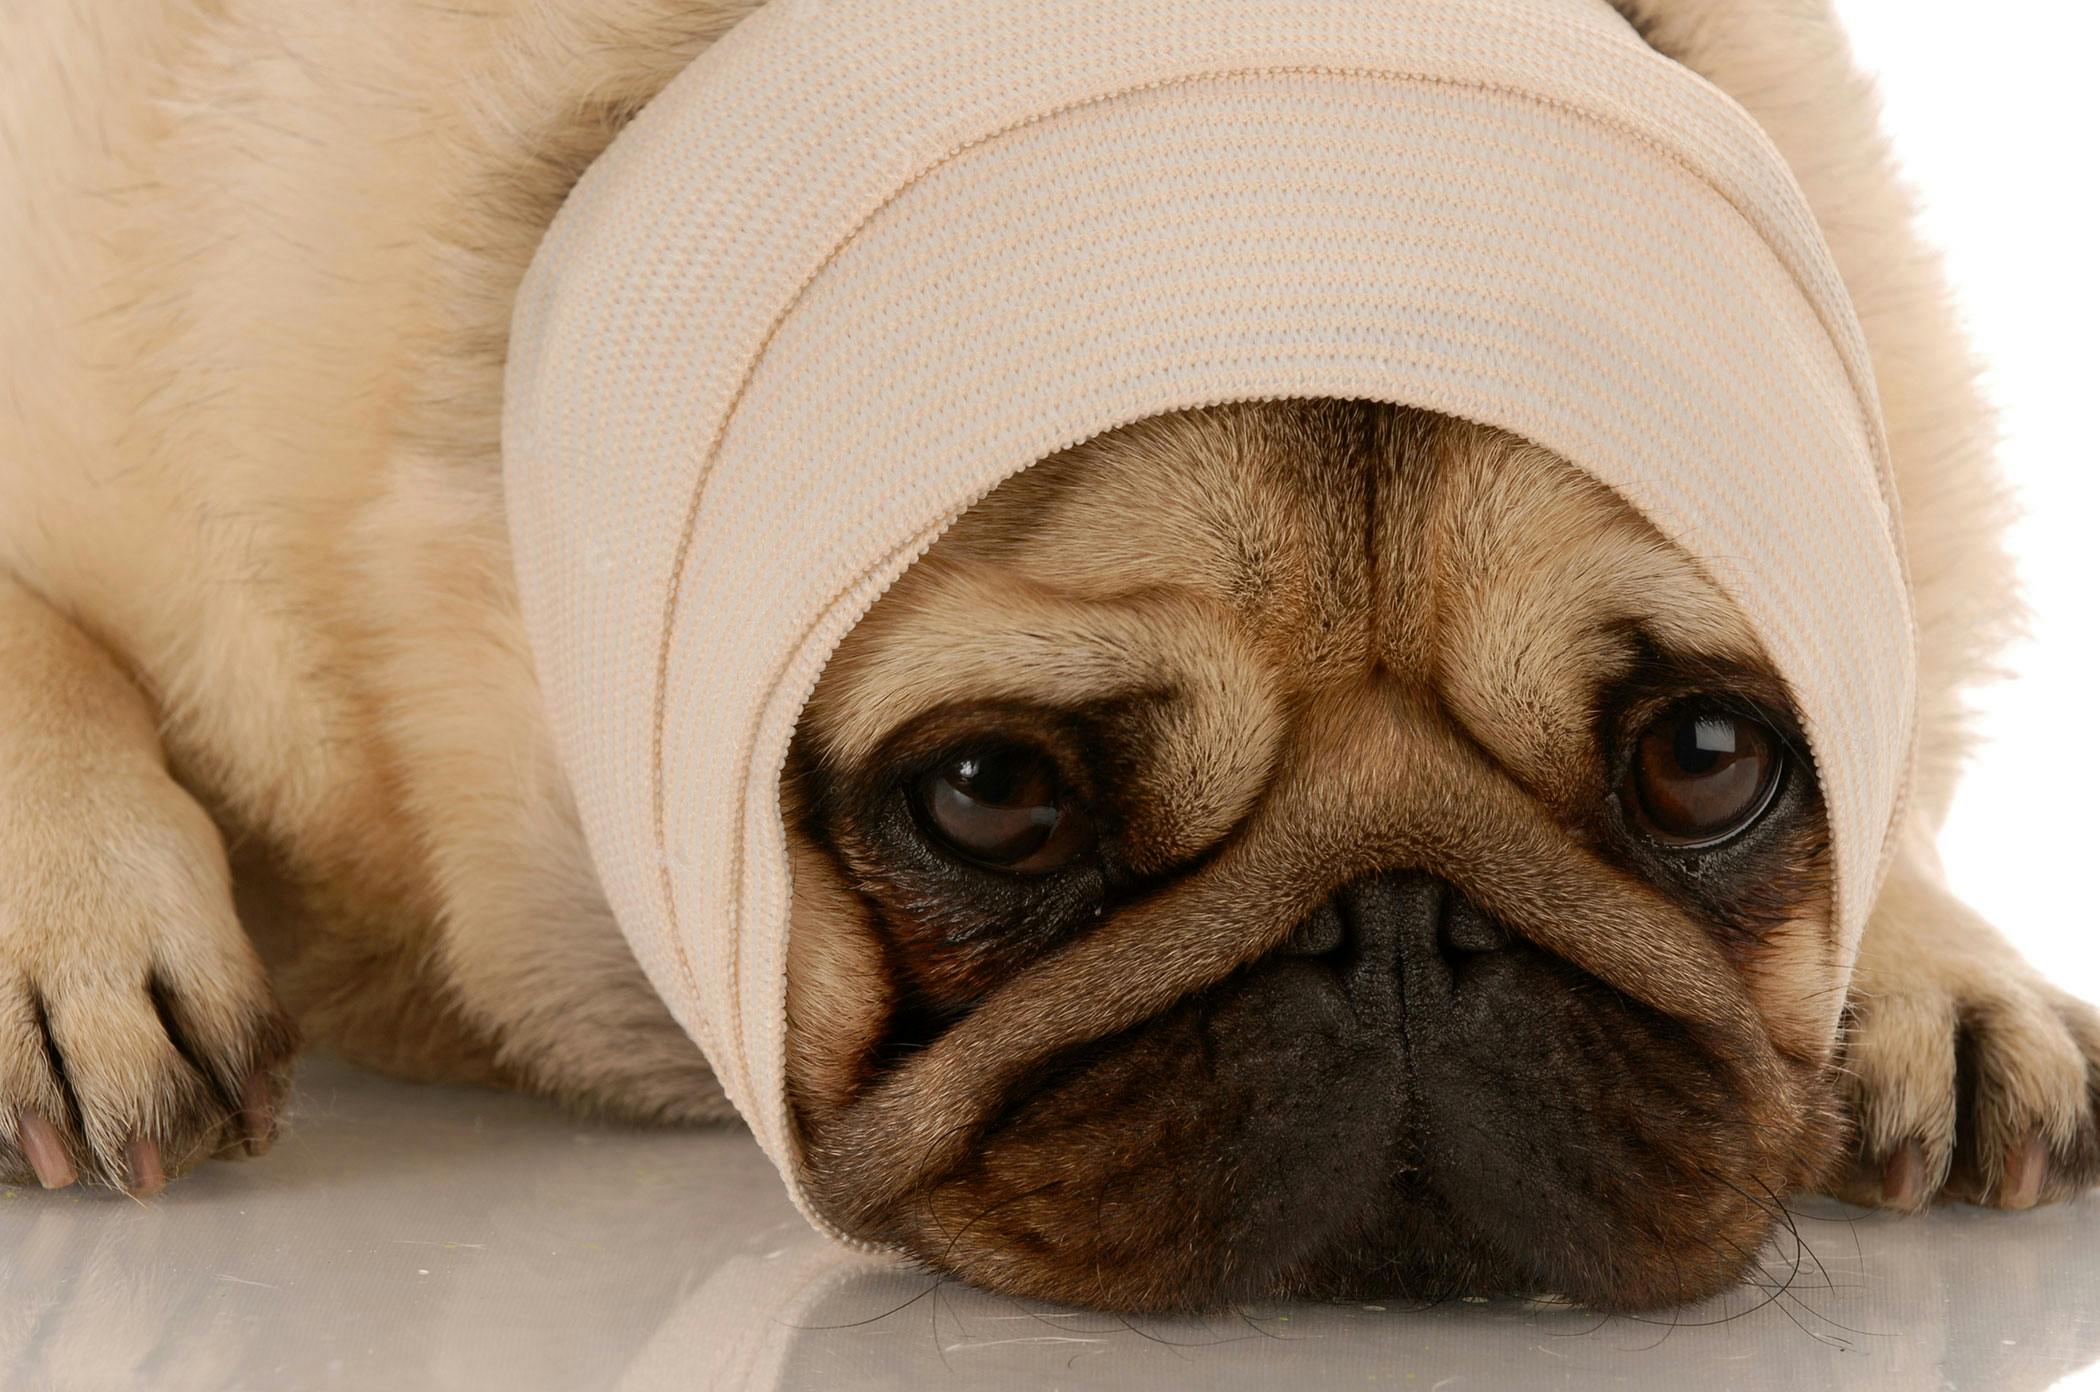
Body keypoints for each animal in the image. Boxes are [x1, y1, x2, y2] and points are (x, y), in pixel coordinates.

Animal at [0, 0, 2091, 1318]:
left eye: (1705, 757)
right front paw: (74, 929)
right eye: (994, 793)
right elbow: (43, 638)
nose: (1401, 928)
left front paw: (1935, 969)